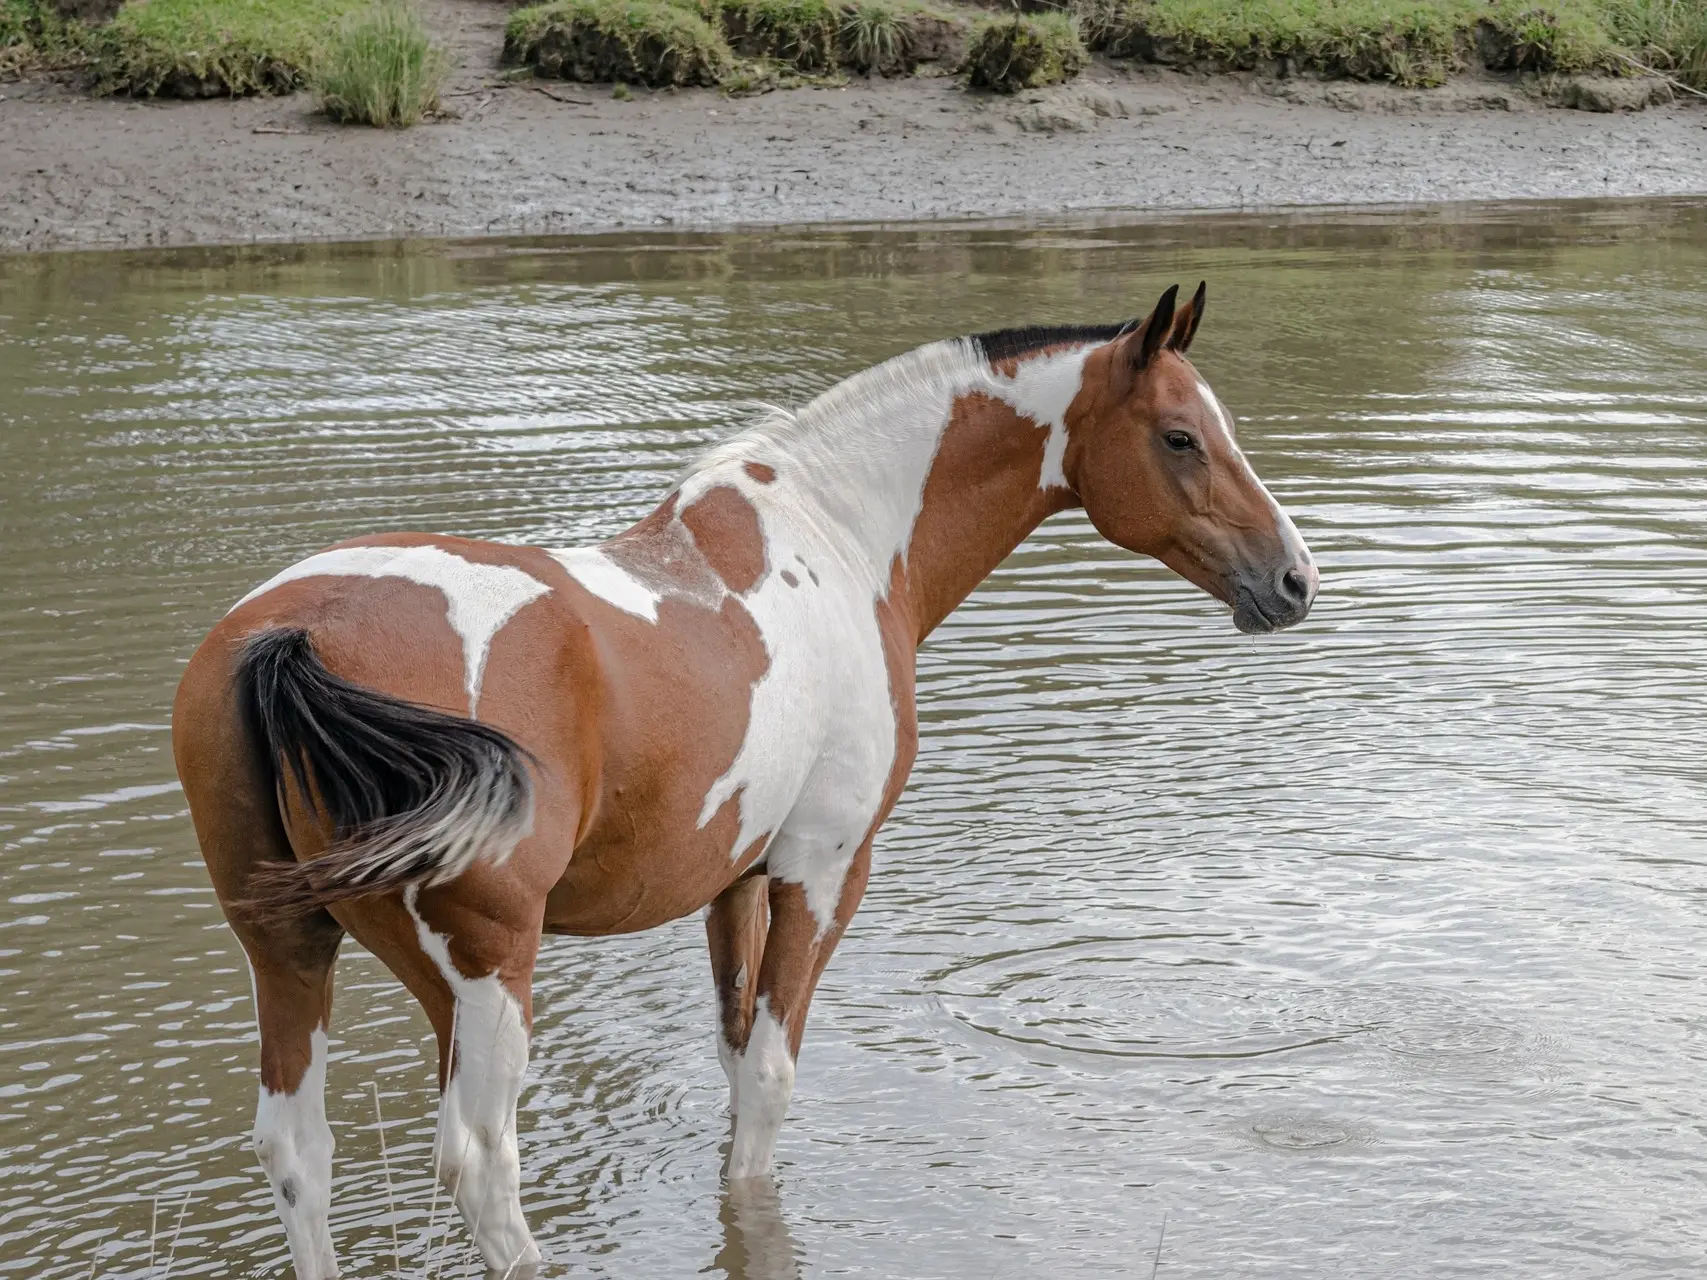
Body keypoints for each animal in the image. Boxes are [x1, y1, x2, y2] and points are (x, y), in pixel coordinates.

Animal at [173, 283, 1310, 1280]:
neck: (843, 542)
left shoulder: (732, 882)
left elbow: (728, 1067)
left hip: (292, 947)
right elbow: (766, 1081)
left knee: (297, 1151)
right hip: (488, 965)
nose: (1292, 578)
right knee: (482, 1164)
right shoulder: (823, 869)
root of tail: (297, 630)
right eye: (1180, 437)